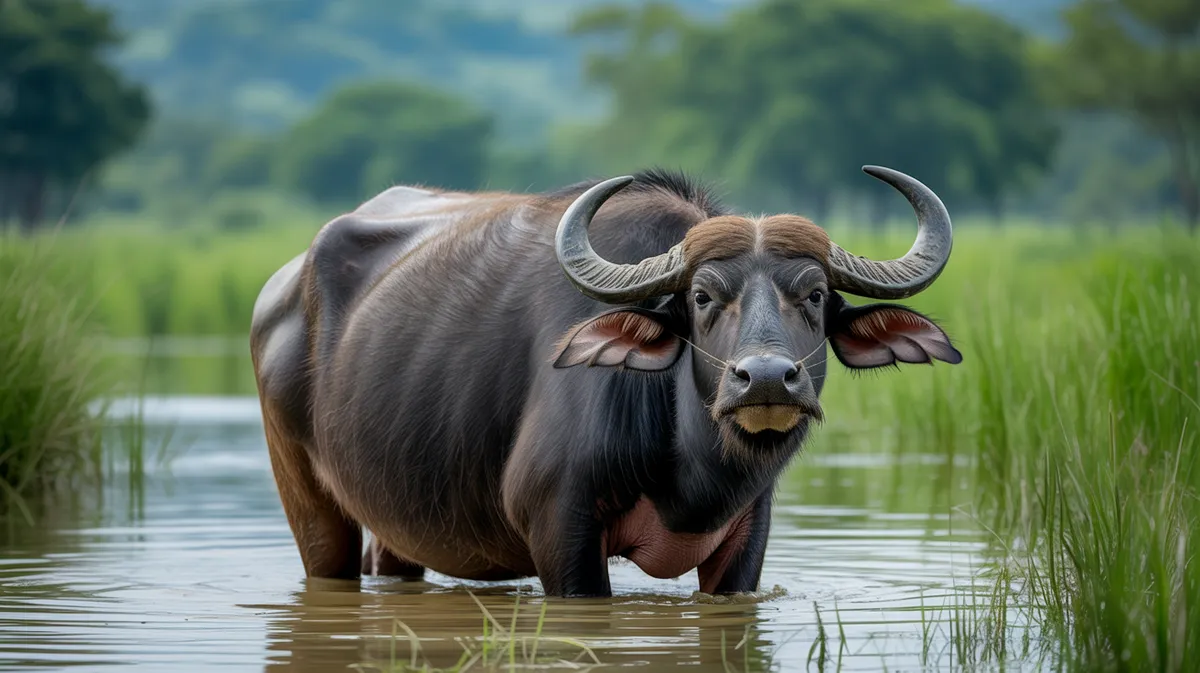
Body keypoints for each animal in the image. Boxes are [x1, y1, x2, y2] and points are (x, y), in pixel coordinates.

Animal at [249, 165, 962, 597]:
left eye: (814, 294)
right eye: (702, 297)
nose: (765, 379)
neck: (689, 473)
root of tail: (281, 289)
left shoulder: (745, 541)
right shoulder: (559, 530)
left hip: (399, 518)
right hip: (309, 503)